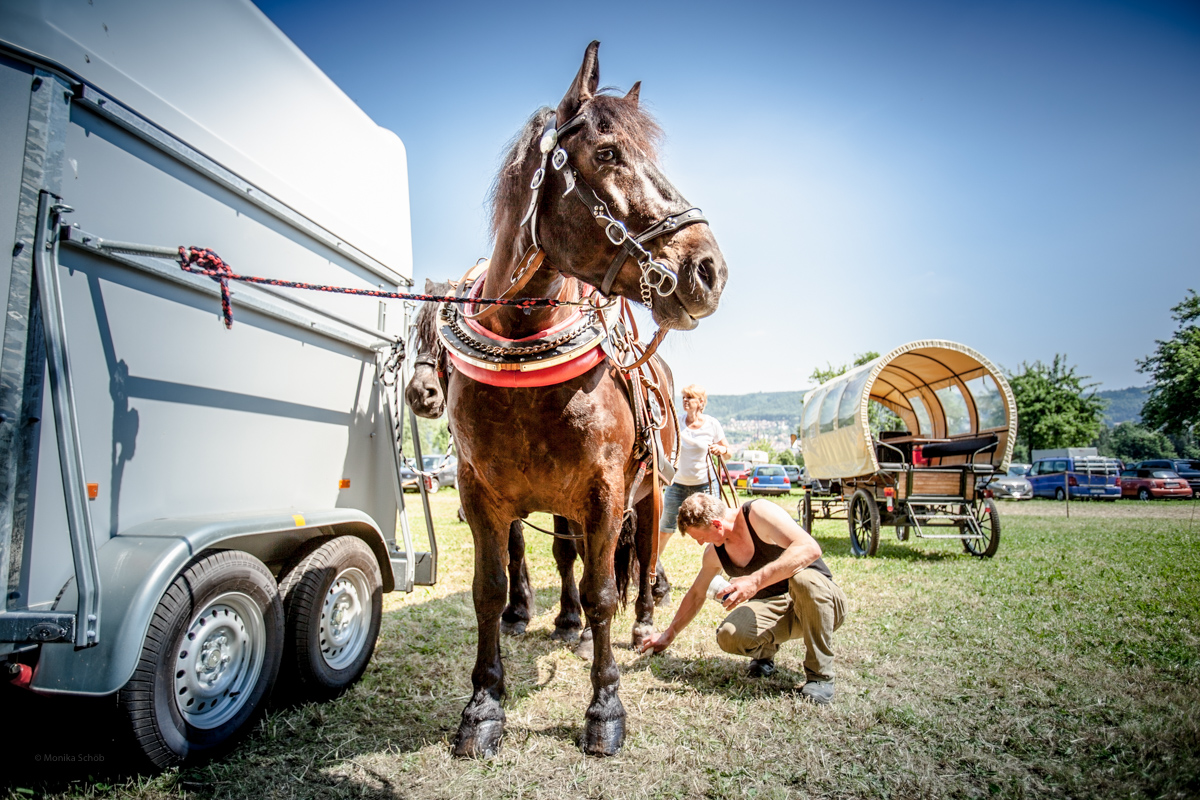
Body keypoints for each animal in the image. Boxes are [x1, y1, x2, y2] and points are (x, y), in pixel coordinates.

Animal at [441, 43, 720, 758]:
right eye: (609, 153)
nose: (710, 268)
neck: (524, 348)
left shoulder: (604, 492)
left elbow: (601, 595)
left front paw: (605, 707)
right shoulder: (481, 494)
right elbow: (489, 592)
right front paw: (483, 706)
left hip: (647, 497)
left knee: (643, 560)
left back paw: (644, 616)